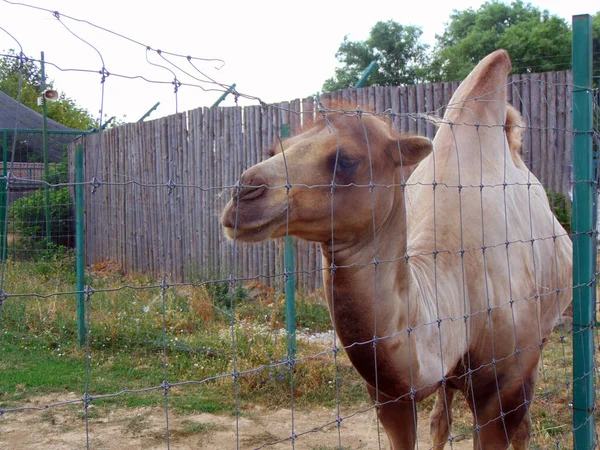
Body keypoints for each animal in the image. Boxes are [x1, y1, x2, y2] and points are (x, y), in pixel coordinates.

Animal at [220, 51, 572, 448]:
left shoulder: (504, 387)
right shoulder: (388, 394)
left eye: (346, 159)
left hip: (540, 340)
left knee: (521, 425)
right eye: (273, 150)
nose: (242, 195)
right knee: (441, 417)